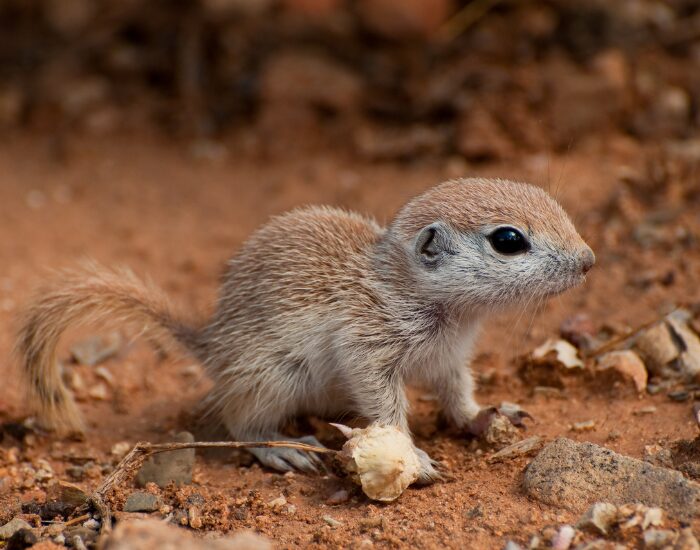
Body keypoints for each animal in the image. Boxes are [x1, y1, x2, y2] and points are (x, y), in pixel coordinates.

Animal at [16, 177, 594, 482]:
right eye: (508, 240)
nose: (589, 261)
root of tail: (209, 343)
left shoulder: (450, 360)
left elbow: (457, 398)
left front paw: (486, 415)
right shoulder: (368, 347)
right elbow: (385, 408)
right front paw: (413, 457)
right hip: (273, 377)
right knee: (241, 422)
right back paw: (283, 448)